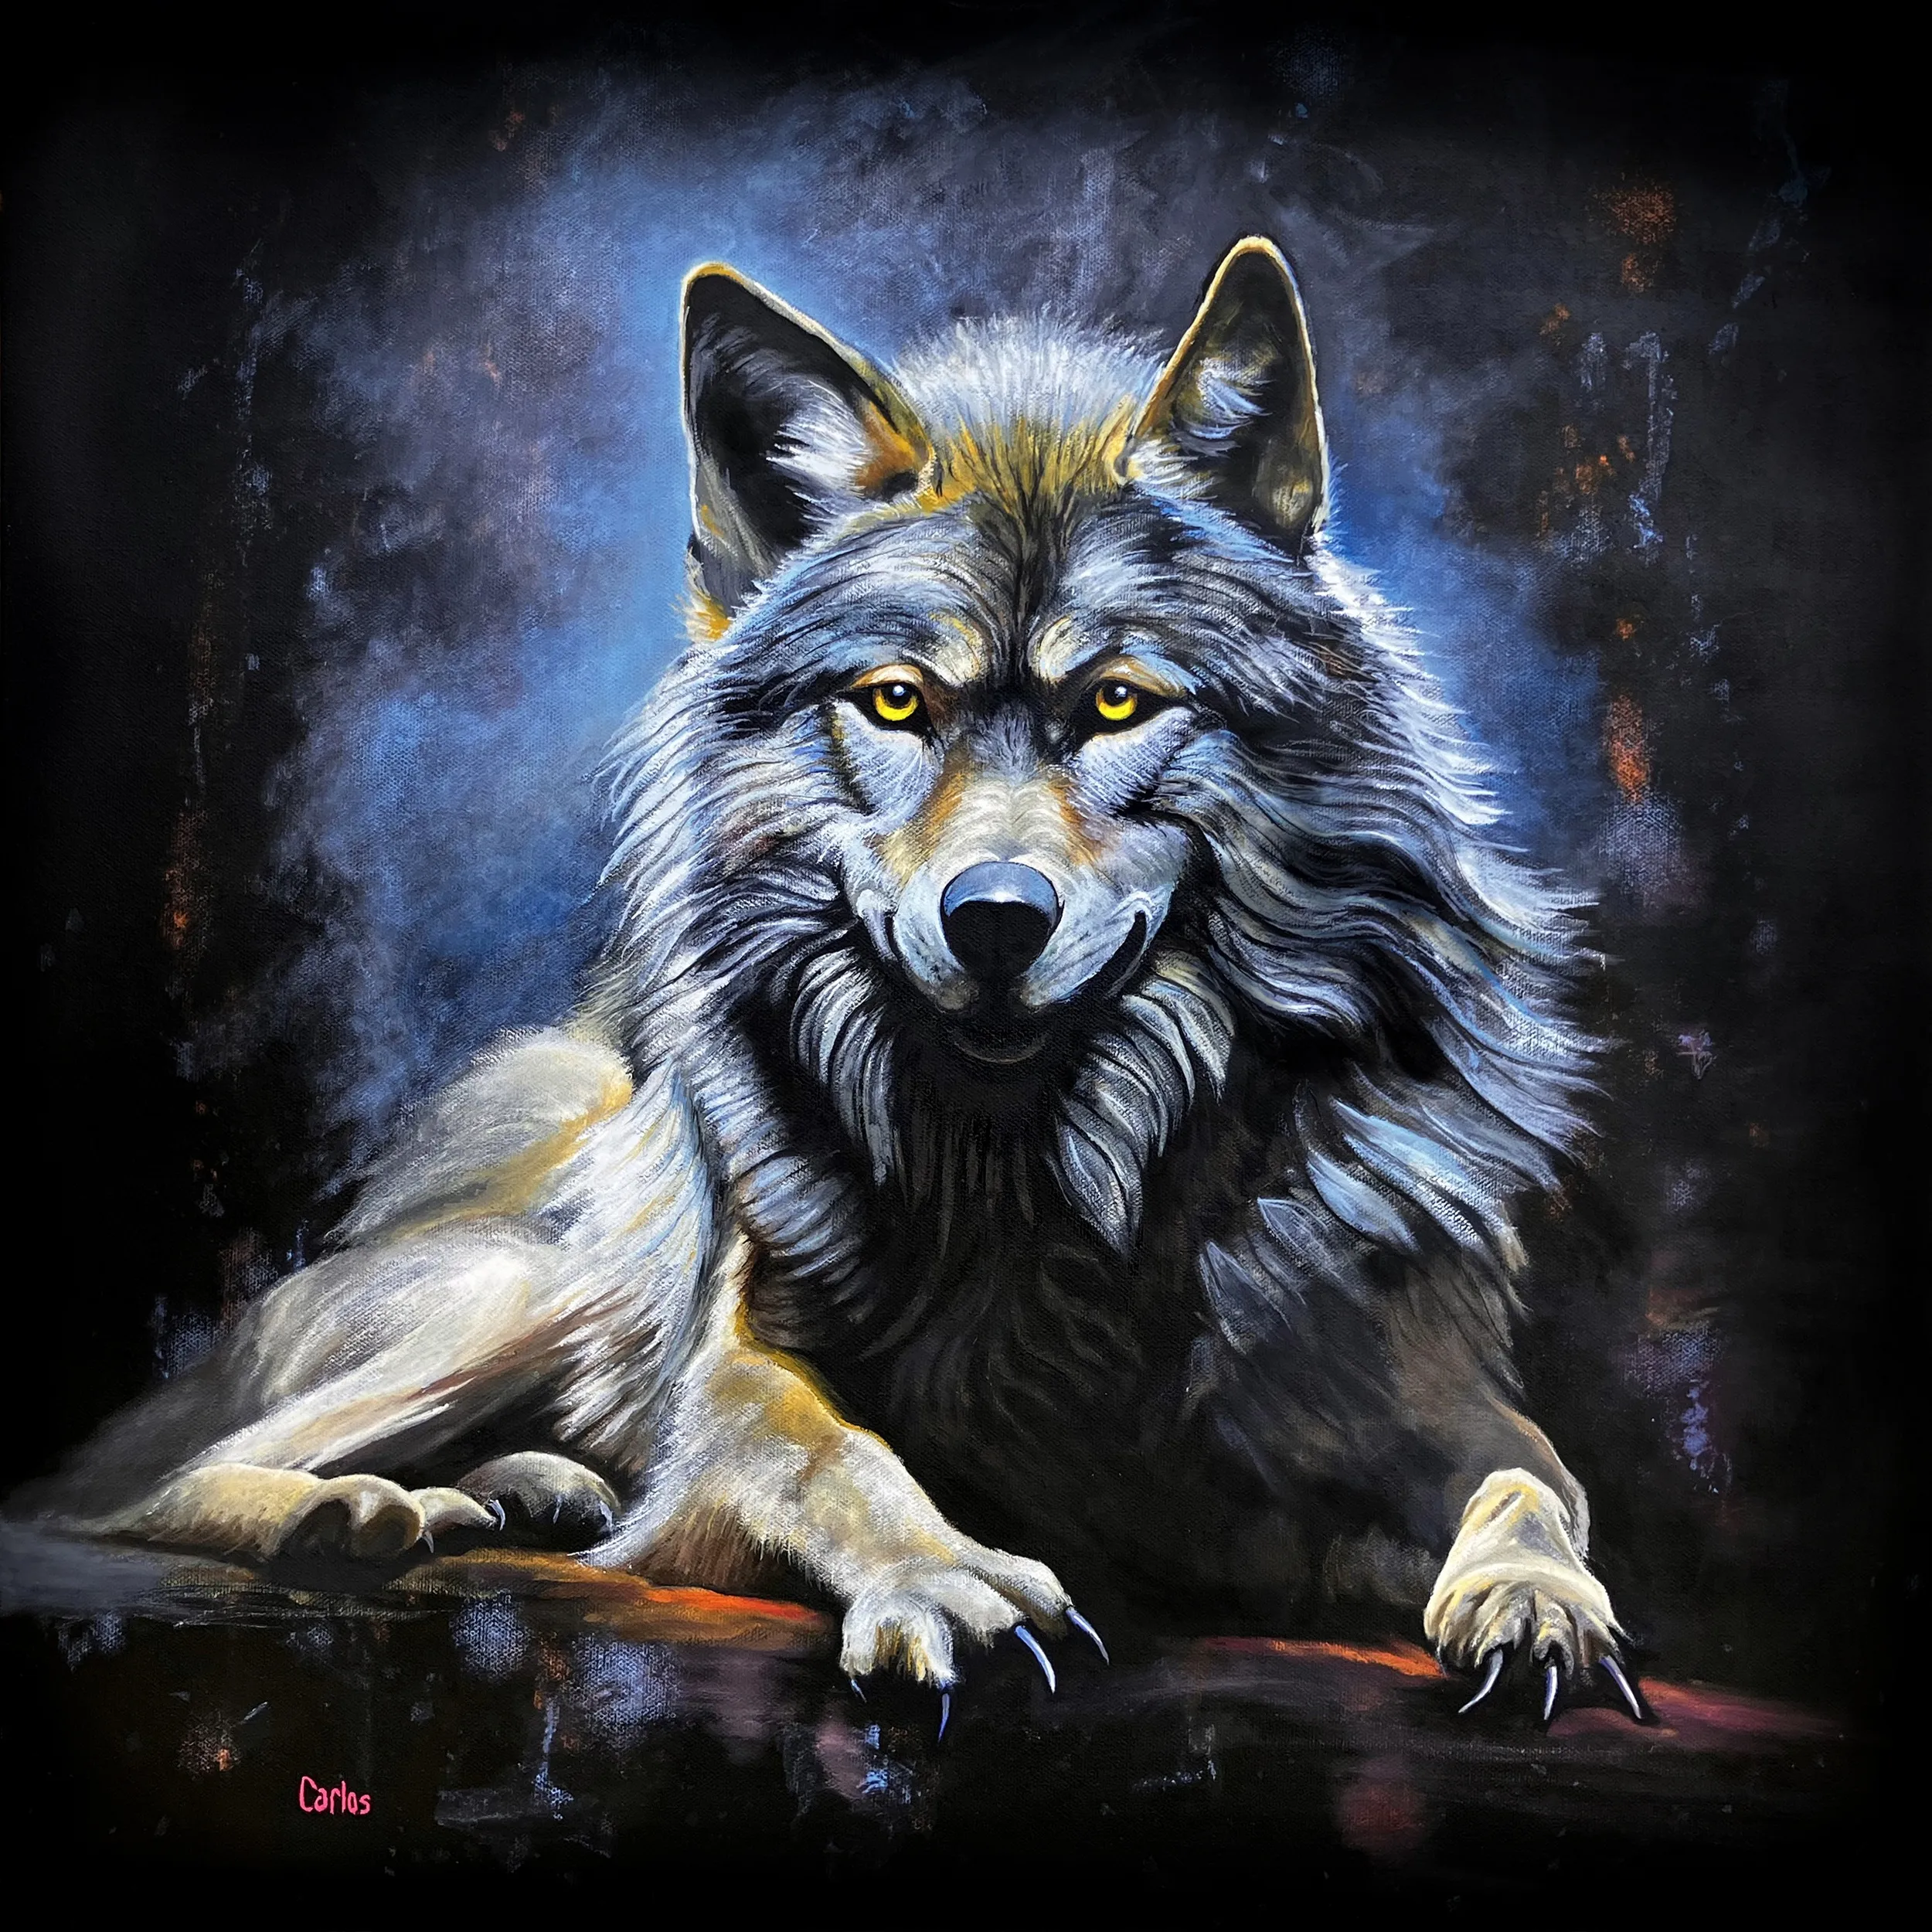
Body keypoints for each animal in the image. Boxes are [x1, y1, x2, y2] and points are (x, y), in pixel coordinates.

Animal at [26, 237, 1638, 1722]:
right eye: (898, 702)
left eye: (1118, 702)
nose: (996, 921)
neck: (1043, 1193)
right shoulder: (744, 1377)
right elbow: (833, 1458)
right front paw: (952, 1579)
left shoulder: (1410, 1407)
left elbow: (1531, 1481)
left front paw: (1536, 1602)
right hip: (513, 1292)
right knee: (128, 1492)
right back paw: (358, 1513)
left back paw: (526, 1489)